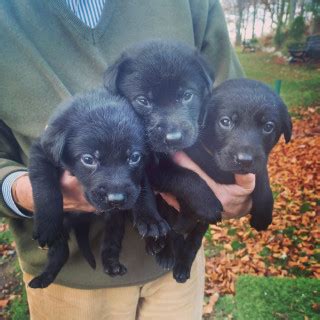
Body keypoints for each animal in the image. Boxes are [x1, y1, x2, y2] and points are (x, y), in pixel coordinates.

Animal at [29, 89, 170, 288]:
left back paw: (113, 265)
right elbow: (45, 185)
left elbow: (143, 191)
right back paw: (44, 277)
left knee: (110, 244)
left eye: (134, 157)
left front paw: (150, 220)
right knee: (60, 252)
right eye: (88, 159)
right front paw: (47, 225)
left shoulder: (141, 172)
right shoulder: (41, 151)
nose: (116, 199)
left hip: (115, 220)